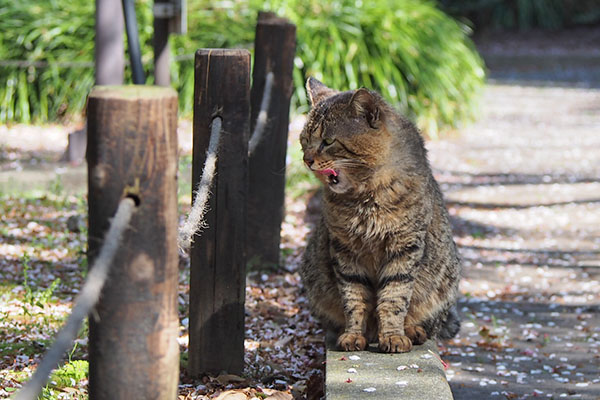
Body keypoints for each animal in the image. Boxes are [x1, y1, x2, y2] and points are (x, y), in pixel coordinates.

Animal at [302, 78, 462, 354]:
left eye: (328, 141)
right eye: (304, 140)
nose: (306, 159)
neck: (365, 198)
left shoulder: (405, 246)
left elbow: (394, 297)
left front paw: (393, 336)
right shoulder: (344, 250)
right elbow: (354, 298)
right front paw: (353, 335)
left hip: (445, 281)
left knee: (431, 322)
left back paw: (413, 330)